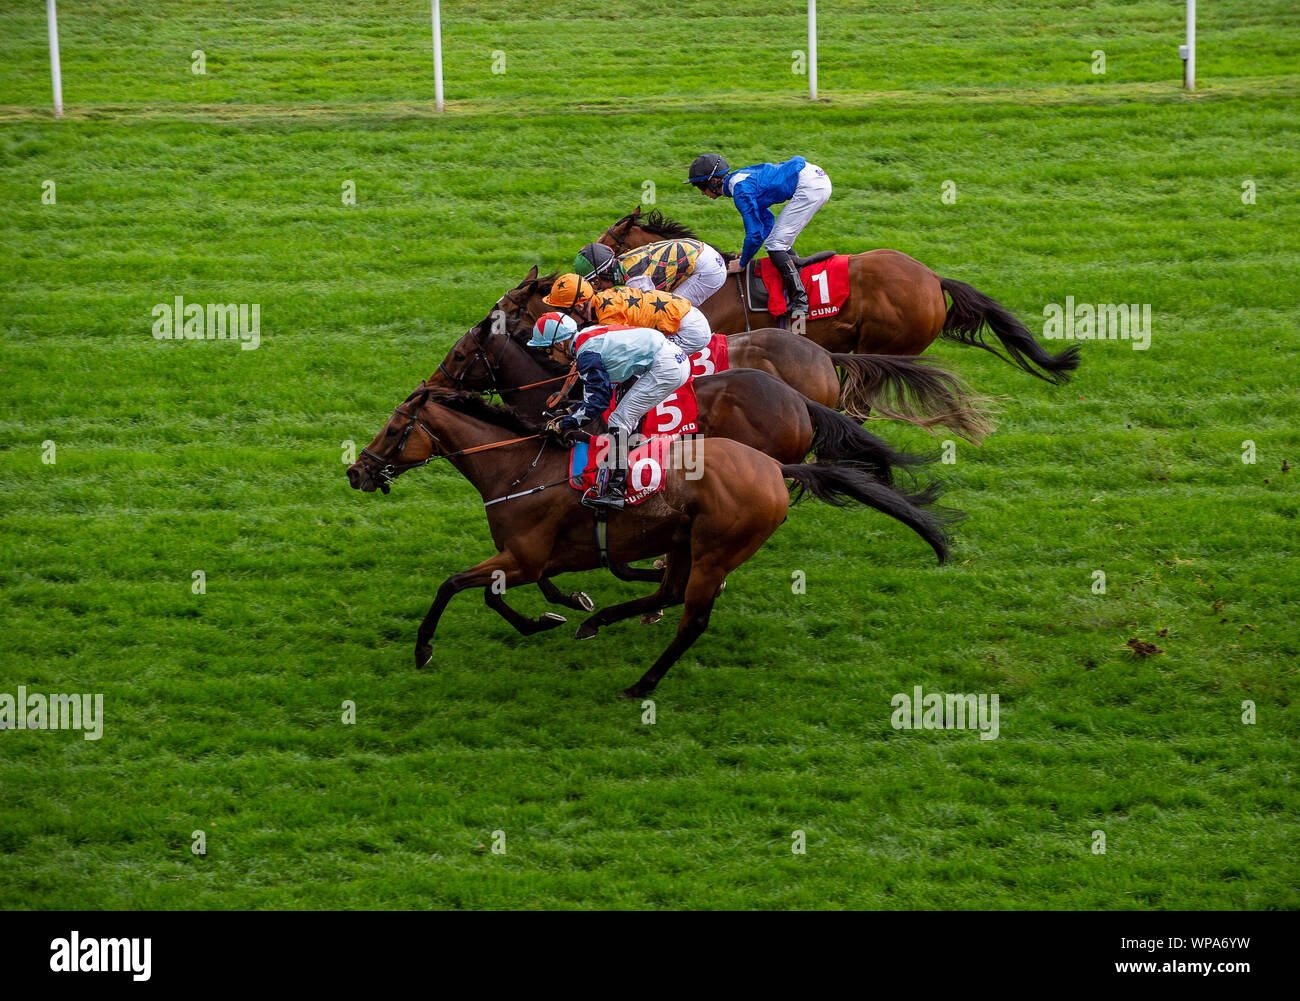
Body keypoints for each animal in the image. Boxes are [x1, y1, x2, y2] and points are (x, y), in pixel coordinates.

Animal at [345, 387, 956, 696]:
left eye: (394, 429)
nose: (357, 471)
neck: (520, 469)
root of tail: (776, 467)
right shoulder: (535, 558)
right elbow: (511, 591)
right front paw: (560, 612)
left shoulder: (523, 556)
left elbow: (456, 585)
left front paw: (424, 649)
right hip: (687, 540)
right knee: (667, 593)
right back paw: (599, 622)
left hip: (715, 549)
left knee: (692, 618)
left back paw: (642, 684)